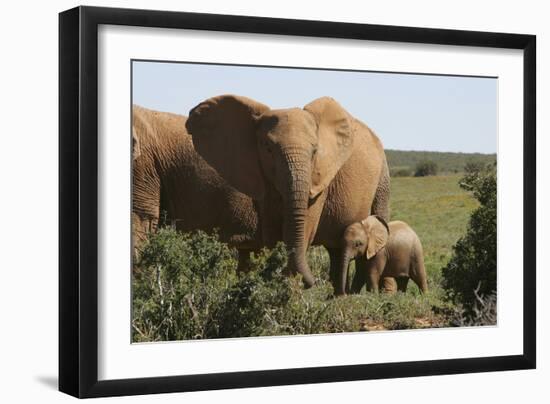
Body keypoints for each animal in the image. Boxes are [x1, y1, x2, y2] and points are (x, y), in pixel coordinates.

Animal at [188, 94, 390, 290]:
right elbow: (270, 231)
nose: (314, 282)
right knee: (336, 251)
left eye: (314, 151)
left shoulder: (319, 180)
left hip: (382, 179)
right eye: (268, 148)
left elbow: (305, 227)